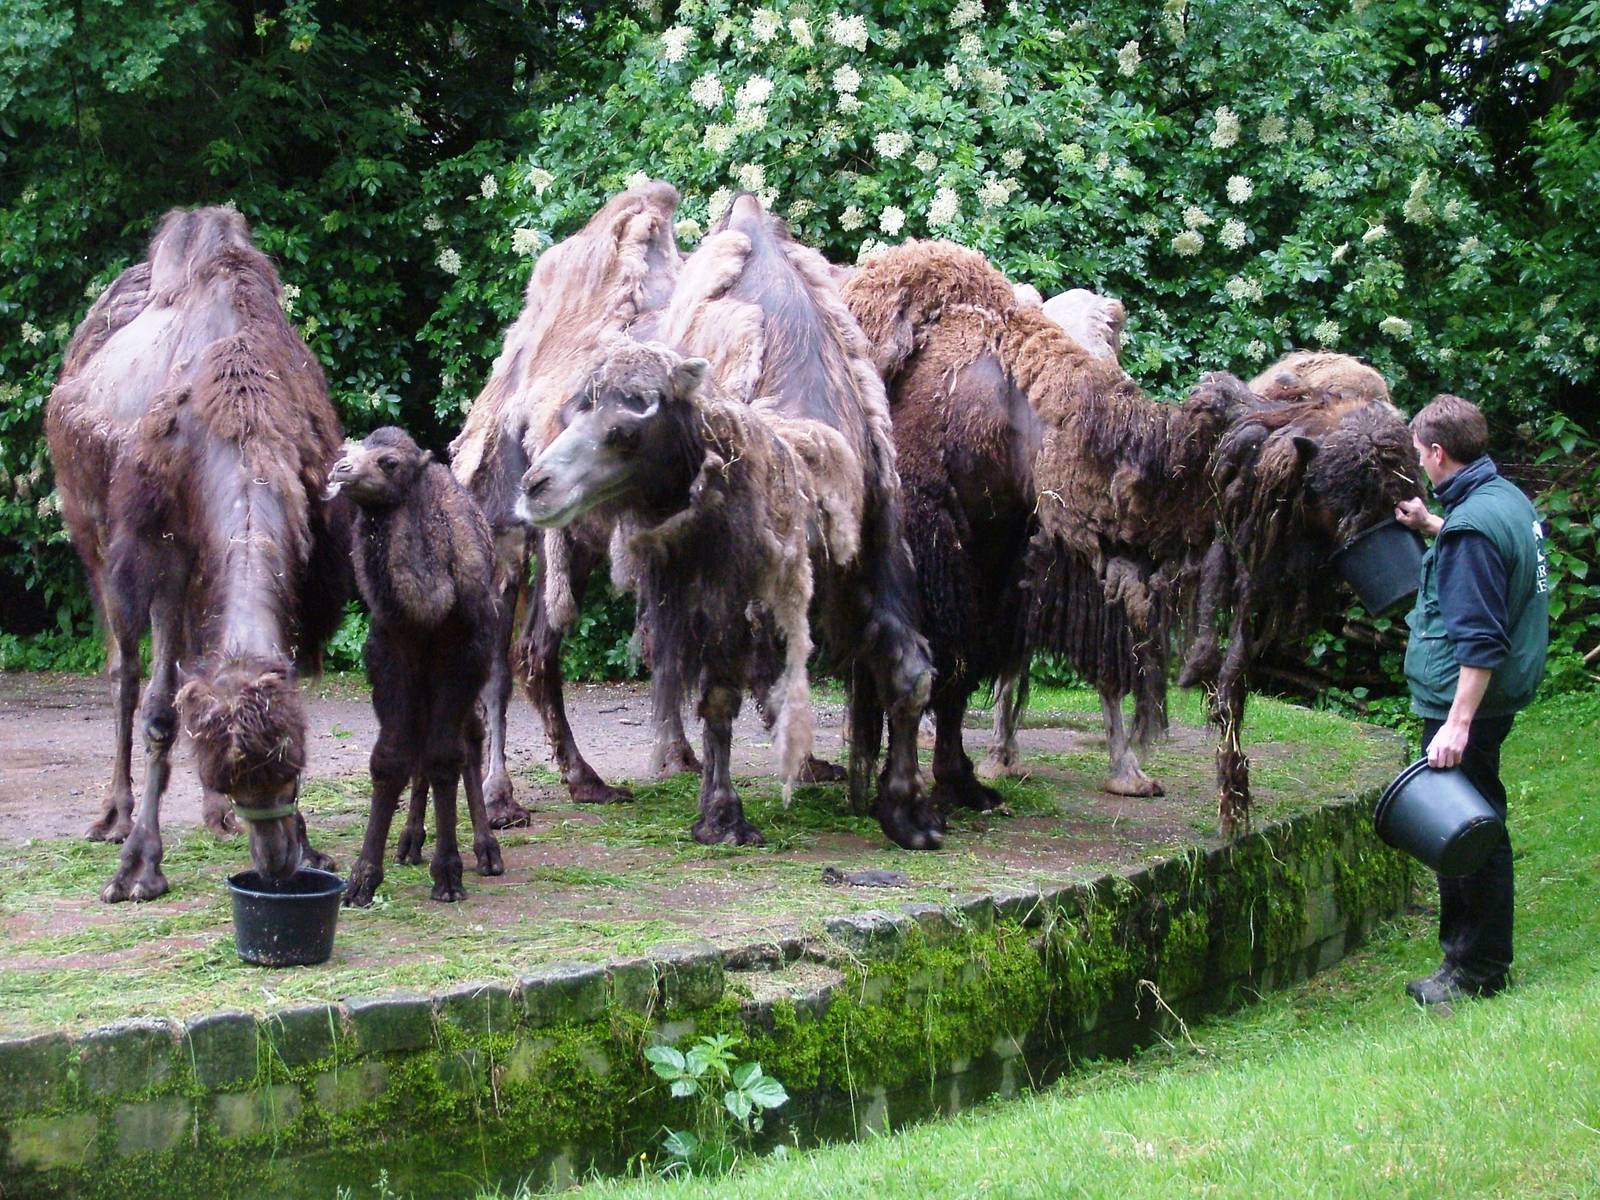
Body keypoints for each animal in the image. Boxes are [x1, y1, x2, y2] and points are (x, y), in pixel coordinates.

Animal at [45, 206, 348, 901]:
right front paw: (139, 865)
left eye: (292, 769)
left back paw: (211, 819)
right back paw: (114, 815)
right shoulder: (163, 549)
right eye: (234, 776)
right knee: (124, 671)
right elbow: (161, 709)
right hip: (92, 534)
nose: (275, 863)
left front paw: (310, 844)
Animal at [519, 193, 938, 849]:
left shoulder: (869, 548)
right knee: (531, 652)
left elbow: (908, 670)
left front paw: (909, 813)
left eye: (627, 429)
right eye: (580, 409)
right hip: (557, 548)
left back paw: (683, 760)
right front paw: (722, 817)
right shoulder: (720, 574)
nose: (538, 484)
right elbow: (719, 691)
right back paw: (569, 786)